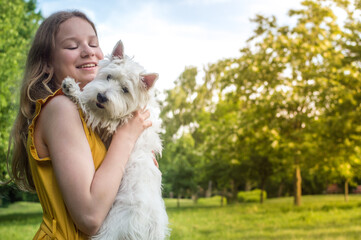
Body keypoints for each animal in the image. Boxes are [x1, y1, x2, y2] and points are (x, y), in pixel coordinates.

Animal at [61, 40, 169, 239]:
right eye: (109, 77)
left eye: (125, 90)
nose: (101, 96)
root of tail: (148, 230)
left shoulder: (108, 122)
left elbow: (88, 107)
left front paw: (72, 88)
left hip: (110, 228)